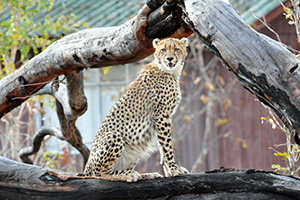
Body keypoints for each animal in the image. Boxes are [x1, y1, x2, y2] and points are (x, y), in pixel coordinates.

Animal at [83, 37, 189, 181]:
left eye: (176, 49)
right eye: (163, 50)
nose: (170, 58)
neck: (169, 72)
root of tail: (85, 169)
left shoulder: (162, 118)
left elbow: (162, 146)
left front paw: (169, 171)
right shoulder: (161, 115)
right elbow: (167, 146)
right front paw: (173, 169)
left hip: (137, 146)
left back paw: (146, 174)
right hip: (115, 136)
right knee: (98, 173)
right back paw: (128, 174)